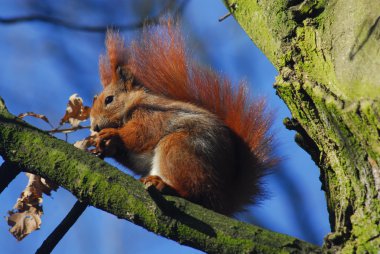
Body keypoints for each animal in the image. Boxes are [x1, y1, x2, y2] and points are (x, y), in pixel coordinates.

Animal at [90, 19, 278, 214]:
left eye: (109, 99)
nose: (95, 127)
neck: (134, 103)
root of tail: (224, 200)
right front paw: (105, 146)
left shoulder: (152, 115)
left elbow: (142, 133)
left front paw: (112, 134)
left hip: (179, 148)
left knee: (195, 192)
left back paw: (166, 186)